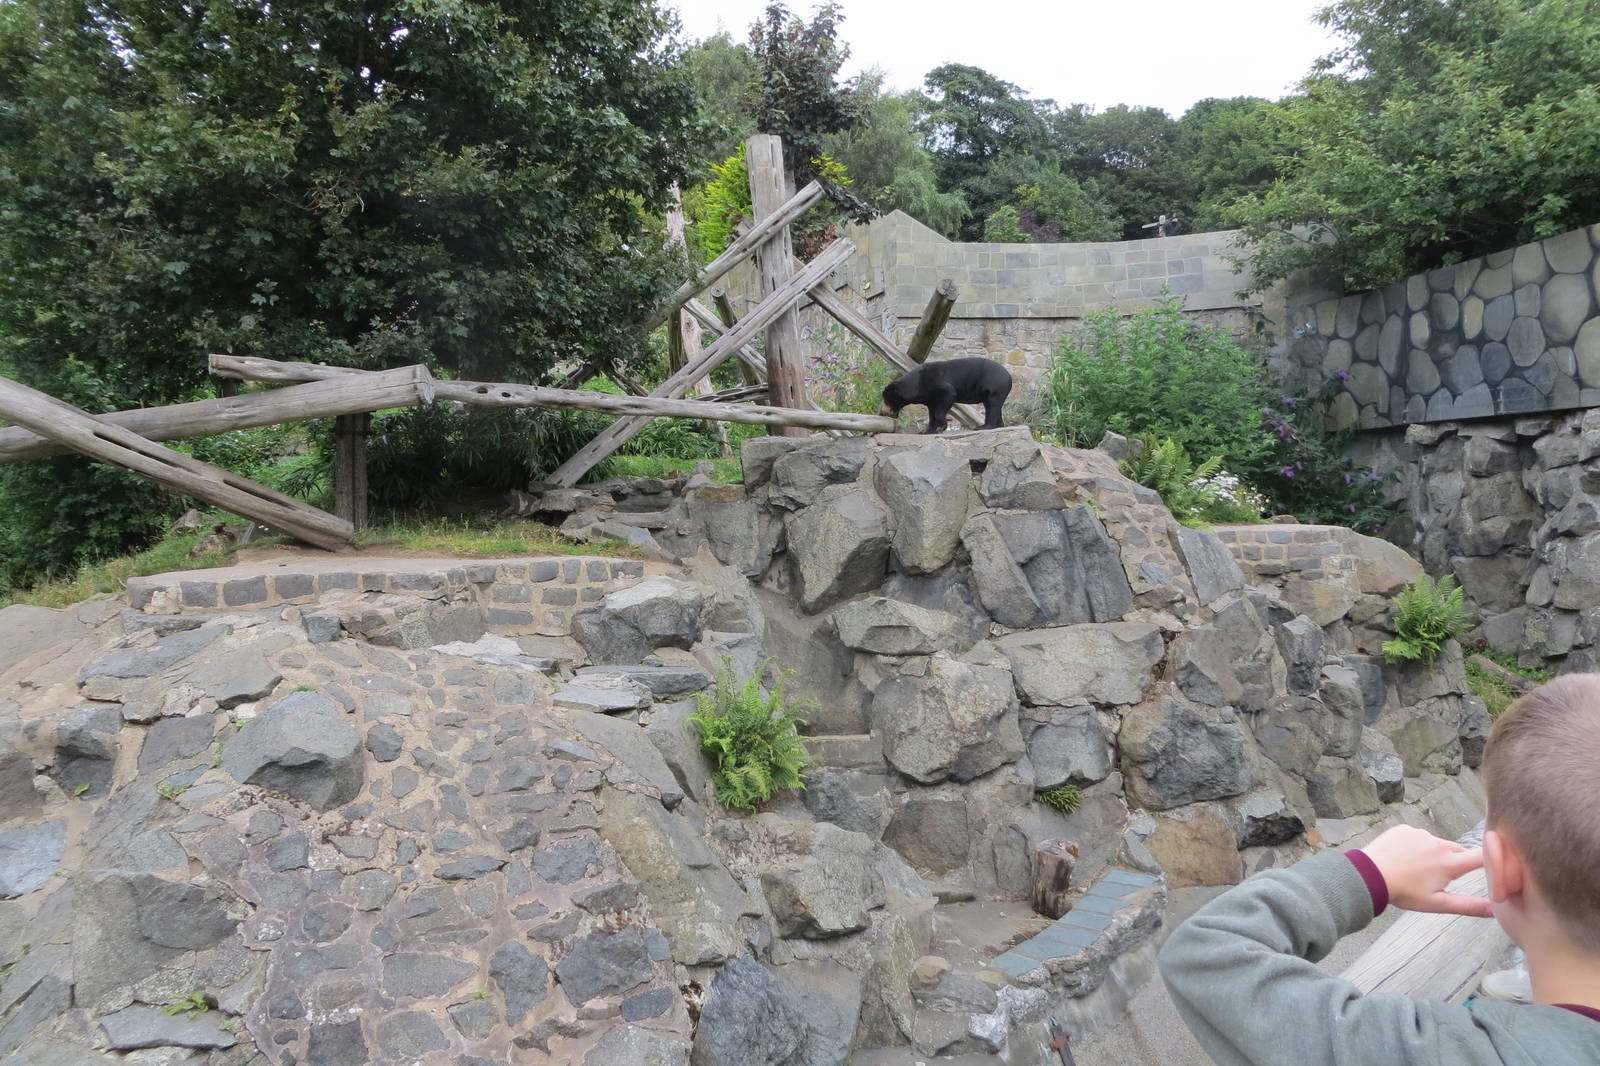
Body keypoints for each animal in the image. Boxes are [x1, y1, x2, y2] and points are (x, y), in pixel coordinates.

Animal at [879, 357, 1012, 434]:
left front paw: (942, 427)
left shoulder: (937, 384)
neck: (917, 384)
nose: (882, 412)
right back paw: (999, 426)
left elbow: (948, 394)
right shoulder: (928, 396)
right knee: (994, 407)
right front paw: (928, 430)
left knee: (992, 406)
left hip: (994, 386)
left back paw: (984, 427)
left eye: (886, 400)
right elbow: (931, 411)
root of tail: (1009, 376)